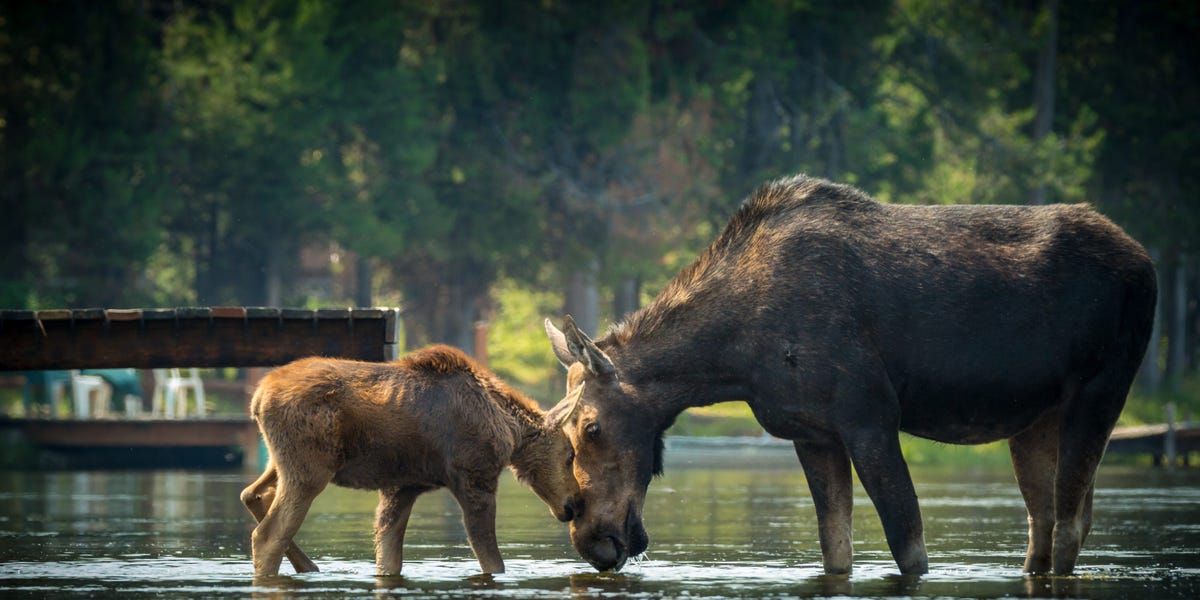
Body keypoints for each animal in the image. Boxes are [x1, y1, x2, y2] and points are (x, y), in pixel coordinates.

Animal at [238, 343, 580, 576]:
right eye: (570, 455)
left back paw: (309, 565)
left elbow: (388, 556)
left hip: (279, 462)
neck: (511, 432)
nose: (574, 505)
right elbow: (492, 560)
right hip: (308, 470)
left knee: (250, 493)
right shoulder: (474, 476)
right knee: (268, 535)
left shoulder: (402, 486)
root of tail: (258, 398)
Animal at [549, 175, 1156, 576]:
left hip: (1103, 389)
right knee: (1046, 524)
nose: (589, 537)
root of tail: (1147, 263)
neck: (732, 360)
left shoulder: (870, 419)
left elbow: (908, 546)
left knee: (1071, 524)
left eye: (591, 427)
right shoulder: (812, 434)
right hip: (1035, 421)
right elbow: (835, 549)